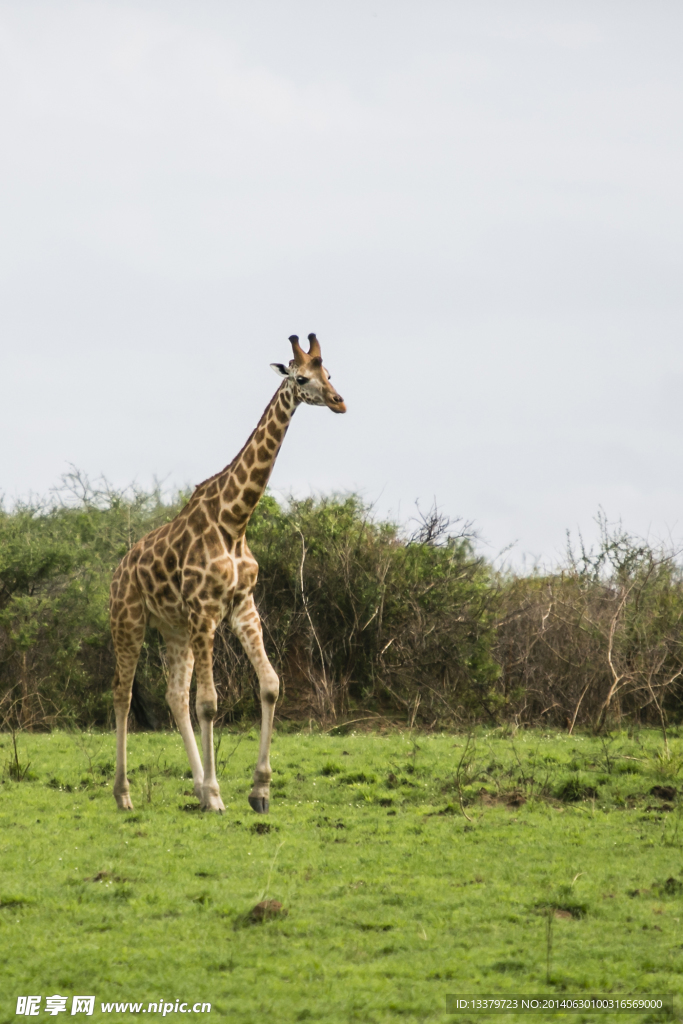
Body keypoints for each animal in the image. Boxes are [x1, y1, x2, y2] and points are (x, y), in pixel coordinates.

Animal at [112, 333, 348, 806]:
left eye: (329, 372)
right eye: (300, 377)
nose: (339, 401)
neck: (235, 519)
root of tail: (115, 573)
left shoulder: (242, 605)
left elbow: (270, 684)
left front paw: (259, 789)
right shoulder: (206, 610)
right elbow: (209, 702)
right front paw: (219, 795)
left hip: (175, 629)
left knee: (174, 696)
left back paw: (197, 786)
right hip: (129, 622)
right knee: (123, 696)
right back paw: (125, 794)